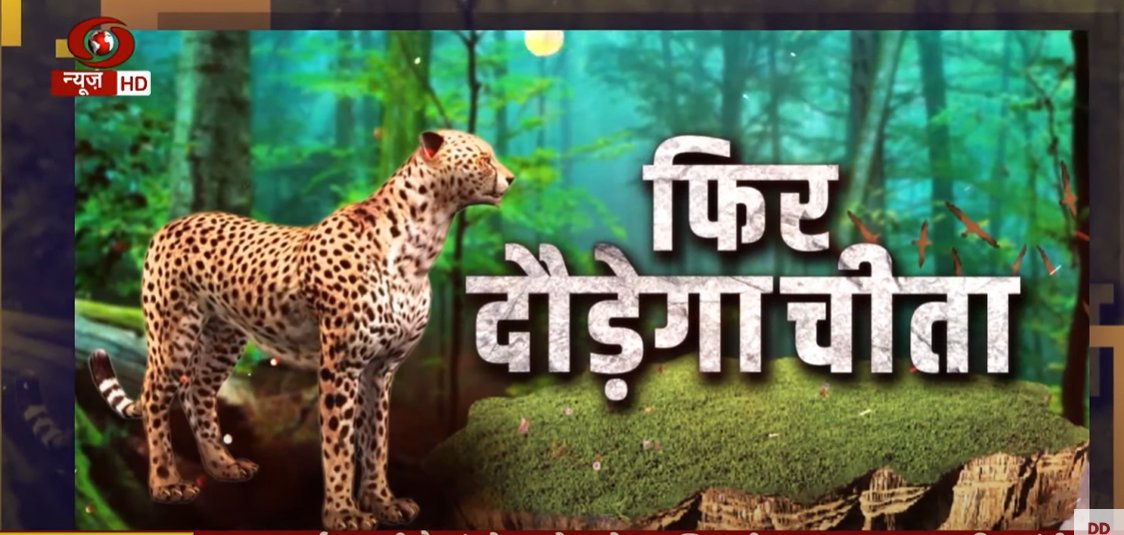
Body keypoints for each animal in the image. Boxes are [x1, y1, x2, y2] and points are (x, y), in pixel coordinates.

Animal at [87, 129, 515, 530]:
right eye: (483, 158)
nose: (510, 178)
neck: (419, 248)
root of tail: (171, 225)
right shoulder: (340, 368)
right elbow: (340, 445)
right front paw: (343, 514)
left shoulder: (381, 371)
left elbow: (376, 442)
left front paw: (384, 503)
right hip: (173, 333)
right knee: (155, 398)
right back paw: (166, 484)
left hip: (225, 338)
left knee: (197, 392)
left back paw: (223, 465)